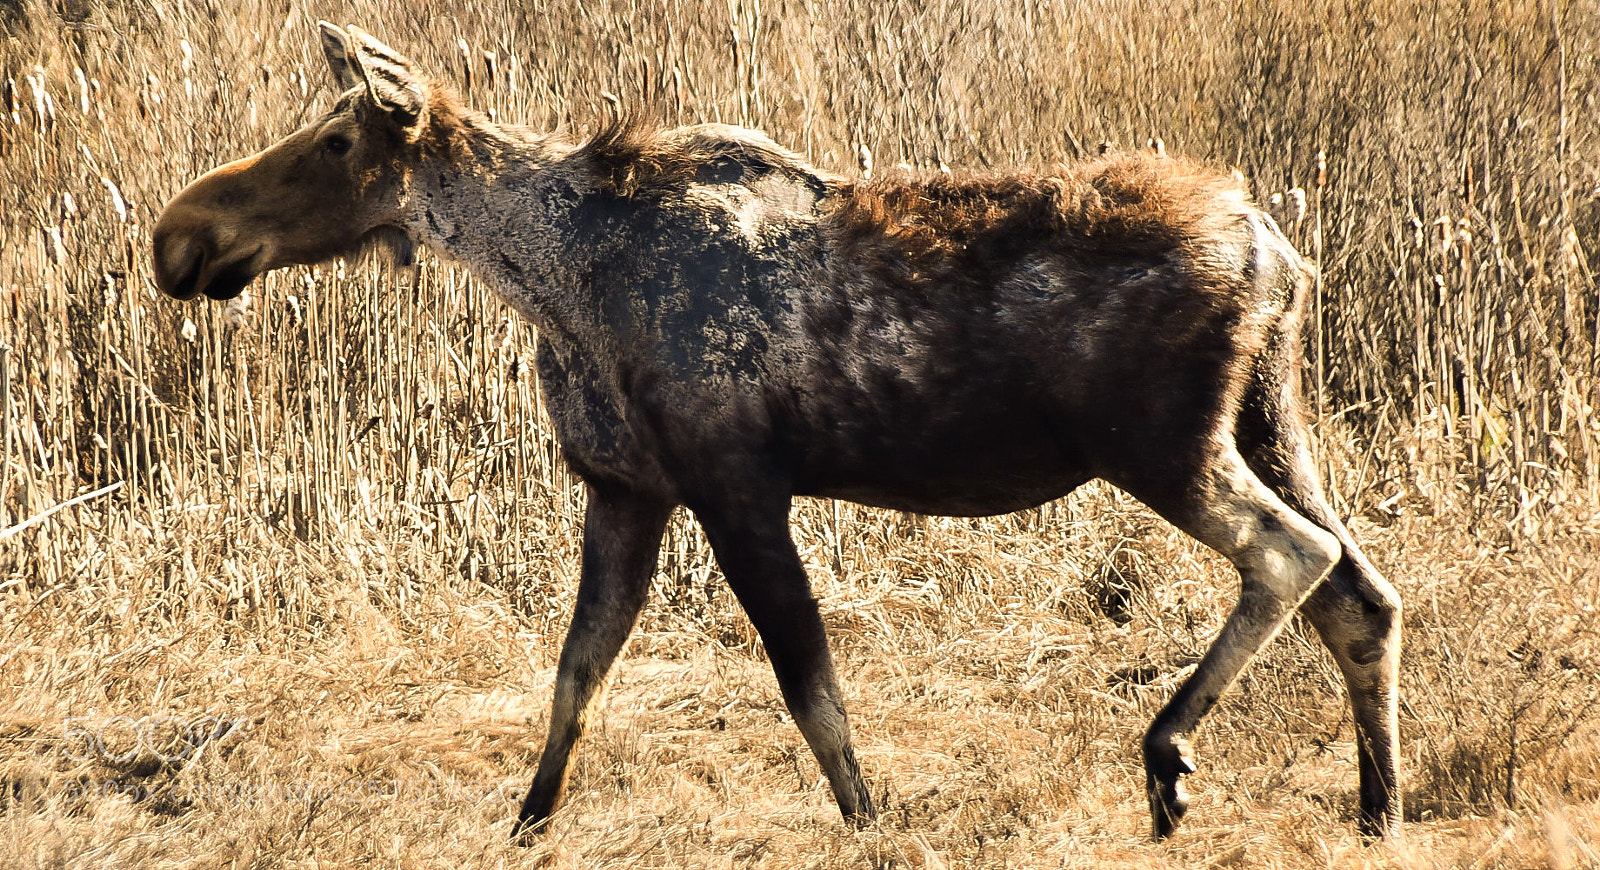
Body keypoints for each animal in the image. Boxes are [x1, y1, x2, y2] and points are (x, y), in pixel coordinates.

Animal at [151, 23, 1402, 843]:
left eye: (333, 144)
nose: (177, 236)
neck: (552, 279)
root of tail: (1278, 251)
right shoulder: (627, 489)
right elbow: (575, 674)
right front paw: (525, 826)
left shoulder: (733, 485)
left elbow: (812, 691)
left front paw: (870, 827)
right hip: (1268, 418)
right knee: (1362, 591)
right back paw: (1376, 808)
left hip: (1162, 444)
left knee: (1291, 553)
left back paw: (1169, 754)